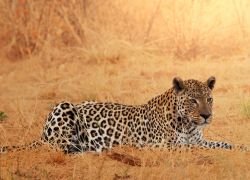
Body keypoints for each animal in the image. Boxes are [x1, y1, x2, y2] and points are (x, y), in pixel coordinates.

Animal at [0, 76, 246, 153]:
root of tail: (41, 134)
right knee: (63, 147)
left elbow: (222, 144)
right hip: (64, 106)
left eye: (209, 99)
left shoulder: (197, 139)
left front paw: (242, 147)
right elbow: (195, 148)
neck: (188, 124)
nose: (206, 116)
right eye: (193, 100)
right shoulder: (165, 146)